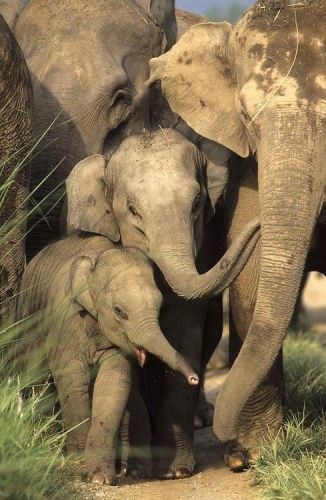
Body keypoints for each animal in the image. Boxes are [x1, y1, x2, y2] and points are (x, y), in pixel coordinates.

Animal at [15, 232, 199, 486]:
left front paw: (99, 478)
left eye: (160, 306)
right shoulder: (65, 320)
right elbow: (72, 379)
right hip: (28, 319)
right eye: (119, 311)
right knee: (37, 379)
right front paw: (78, 466)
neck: (96, 259)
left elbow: (113, 383)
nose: (194, 379)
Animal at [65, 131, 260, 478]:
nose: (260, 223)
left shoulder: (203, 254)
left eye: (197, 203)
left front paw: (175, 471)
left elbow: (184, 335)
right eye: (132, 210)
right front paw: (136, 470)